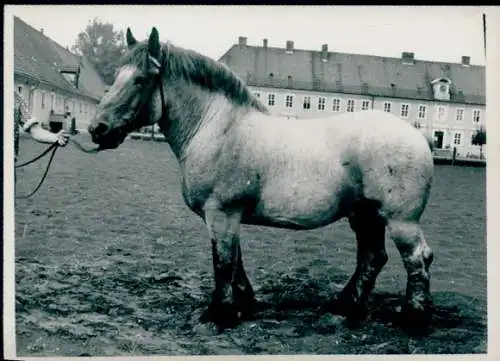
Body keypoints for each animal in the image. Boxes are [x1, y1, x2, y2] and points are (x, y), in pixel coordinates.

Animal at [88, 26, 436, 334]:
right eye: (116, 76)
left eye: (140, 79)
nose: (97, 129)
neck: (217, 128)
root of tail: (418, 137)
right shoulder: (226, 217)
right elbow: (235, 262)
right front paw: (245, 305)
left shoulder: (221, 213)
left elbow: (223, 262)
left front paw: (220, 315)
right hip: (365, 216)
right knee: (372, 258)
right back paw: (346, 307)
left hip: (399, 221)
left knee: (417, 259)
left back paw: (412, 318)